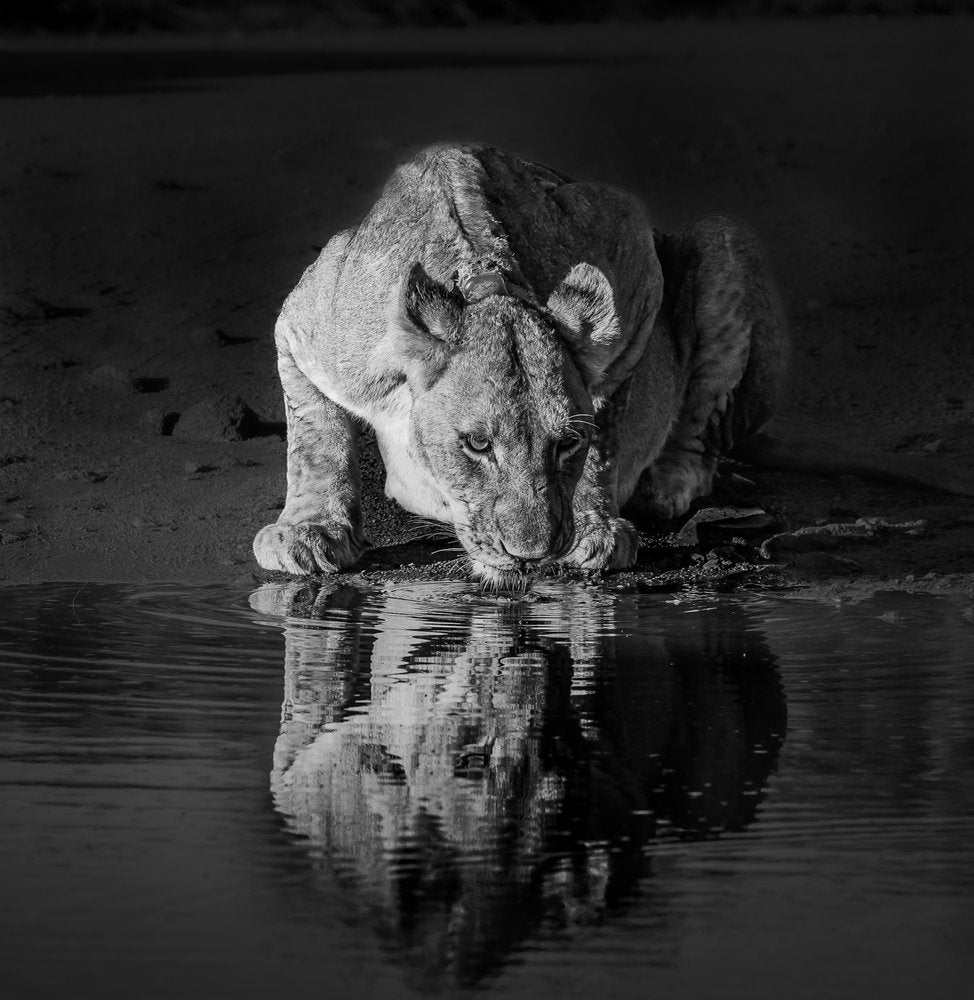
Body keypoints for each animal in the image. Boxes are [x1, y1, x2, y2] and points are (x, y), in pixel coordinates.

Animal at [253, 143, 786, 586]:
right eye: (477, 444)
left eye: (566, 443)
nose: (530, 556)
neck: (487, 285)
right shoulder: (304, 324)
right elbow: (315, 439)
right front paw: (309, 530)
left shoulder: (632, 255)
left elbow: (607, 427)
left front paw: (594, 525)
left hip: (723, 235)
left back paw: (669, 480)